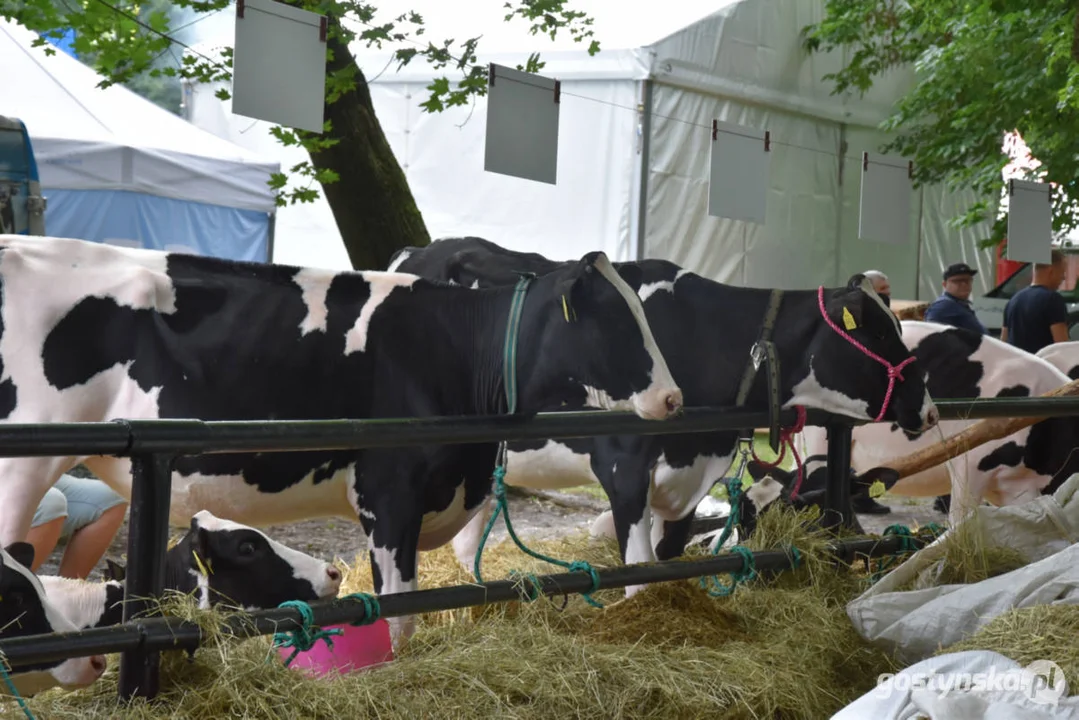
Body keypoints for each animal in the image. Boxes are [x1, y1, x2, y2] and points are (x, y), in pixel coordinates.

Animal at [386, 235, 936, 587]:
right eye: (879, 332)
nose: (929, 409)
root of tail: (421, 249)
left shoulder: (690, 478)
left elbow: (669, 560)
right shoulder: (622, 464)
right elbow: (638, 572)